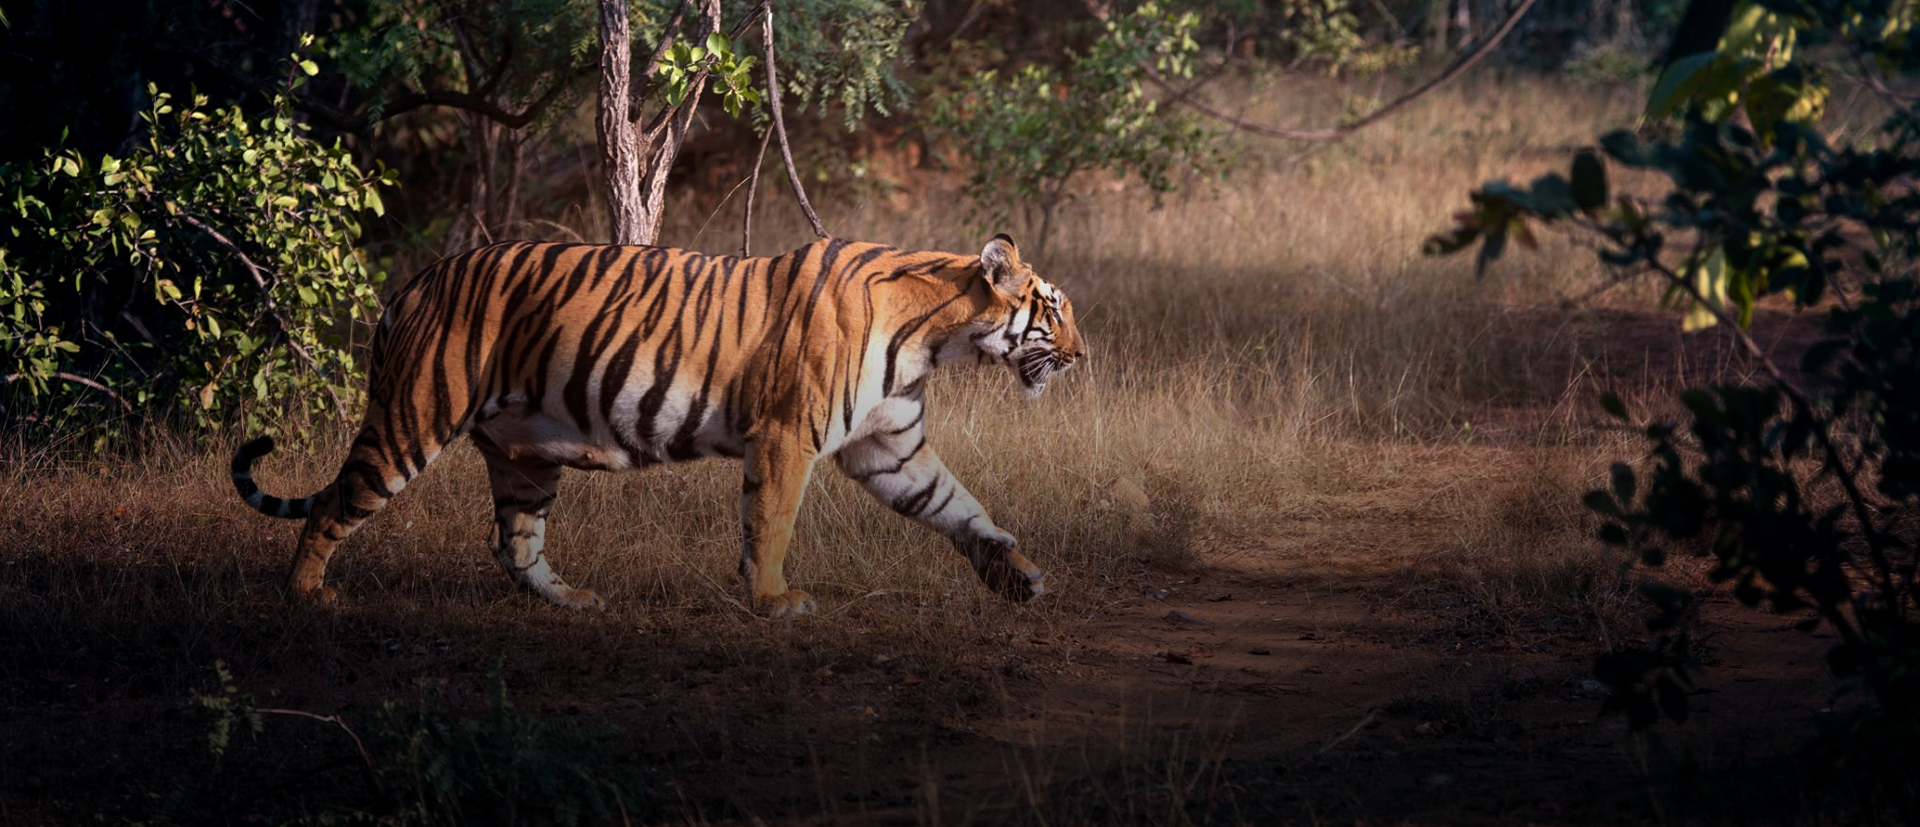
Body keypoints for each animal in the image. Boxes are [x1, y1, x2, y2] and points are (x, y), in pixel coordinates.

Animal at [230, 234, 1085, 617]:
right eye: (1055, 309)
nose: (1082, 355)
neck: (938, 337)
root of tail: (409, 285)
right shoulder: (788, 436)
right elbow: (770, 522)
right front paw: (775, 601)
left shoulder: (891, 447)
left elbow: (962, 508)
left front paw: (1020, 575)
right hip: (412, 417)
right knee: (335, 505)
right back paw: (309, 594)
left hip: (524, 453)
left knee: (513, 542)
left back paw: (572, 599)